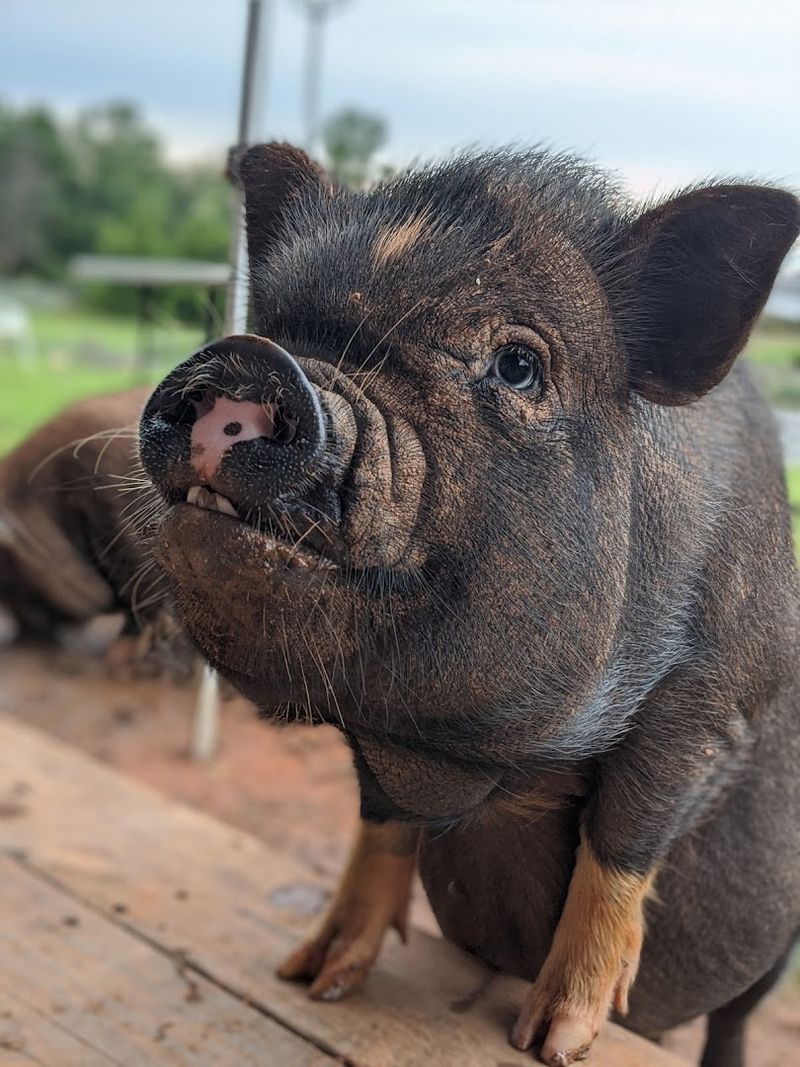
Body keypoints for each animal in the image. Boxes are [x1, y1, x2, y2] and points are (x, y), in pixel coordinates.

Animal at [138, 143, 800, 1066]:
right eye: (271, 322)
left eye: (518, 363)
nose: (246, 360)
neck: (491, 766)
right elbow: (379, 820)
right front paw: (311, 978)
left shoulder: (715, 703)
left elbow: (623, 835)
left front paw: (554, 1040)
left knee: (735, 1013)